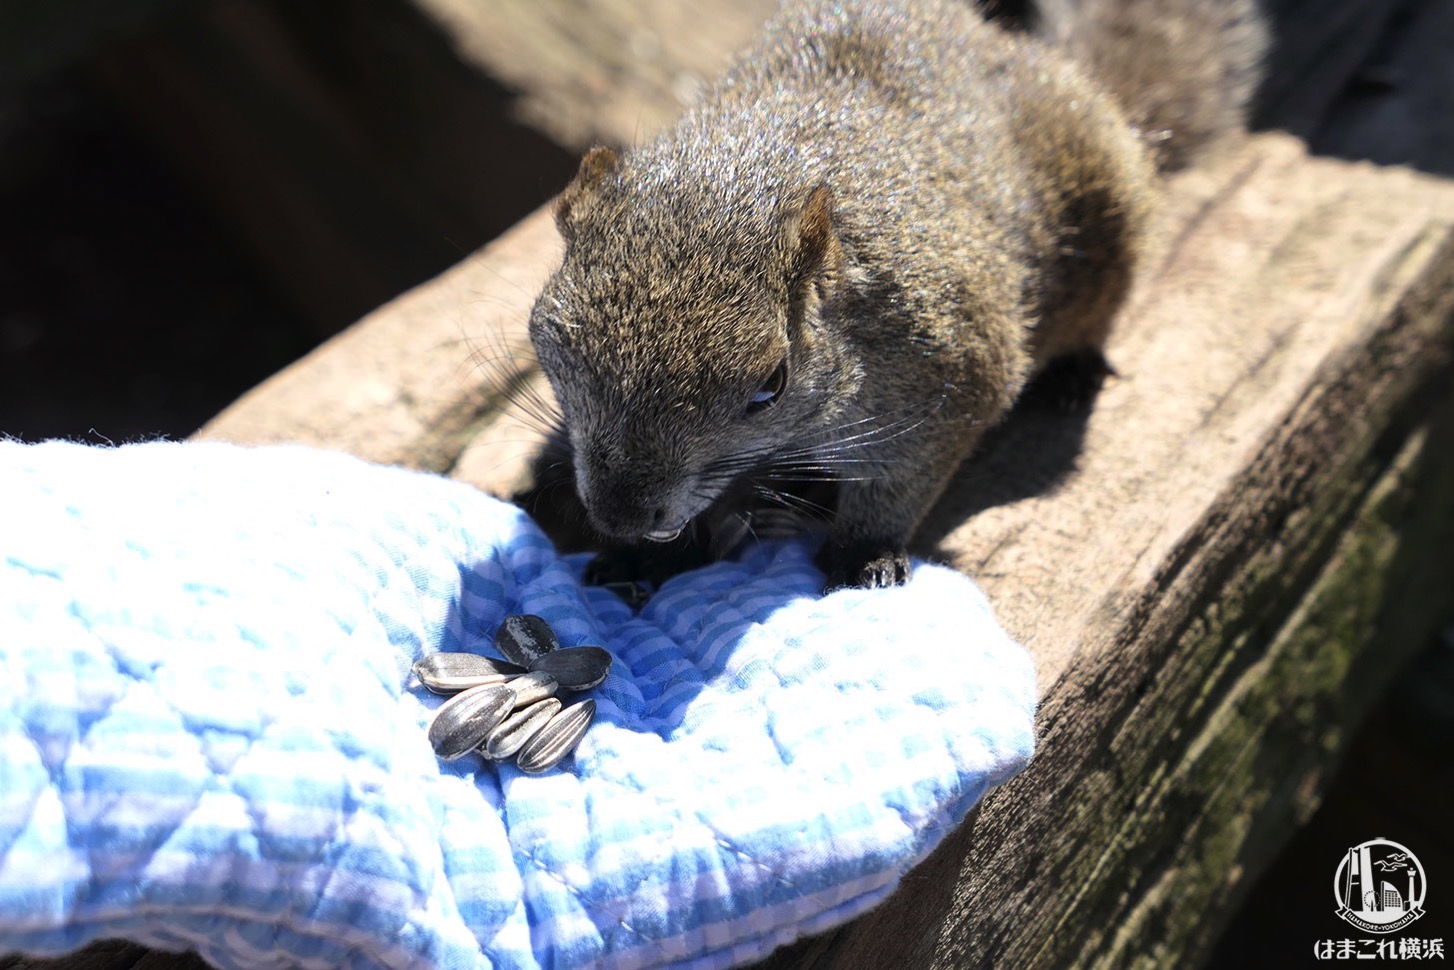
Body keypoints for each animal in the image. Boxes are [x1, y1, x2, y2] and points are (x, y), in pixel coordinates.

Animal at [520, 0, 1262, 593]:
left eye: (770, 386)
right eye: (552, 338)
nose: (620, 515)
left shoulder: (951, 368)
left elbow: (901, 479)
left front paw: (863, 555)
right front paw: (643, 556)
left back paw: (1072, 372)